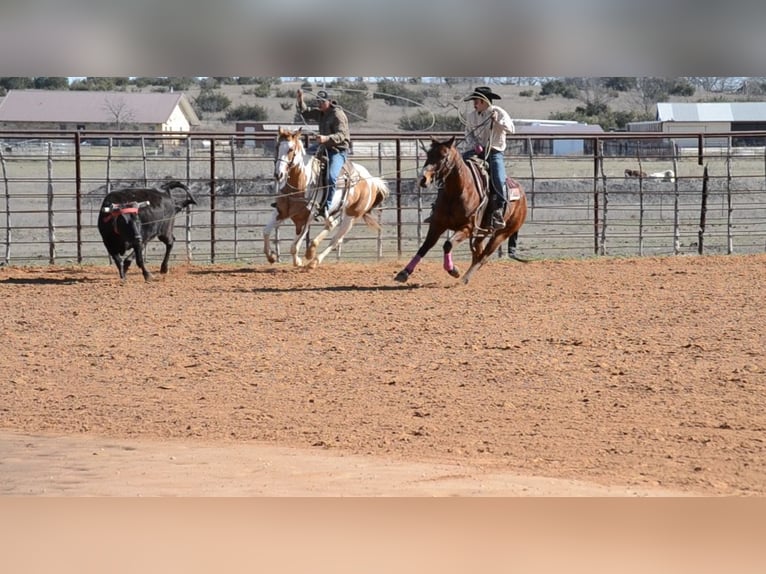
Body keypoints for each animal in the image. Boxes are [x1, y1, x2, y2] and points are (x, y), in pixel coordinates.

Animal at [268, 126, 392, 270]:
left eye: (291, 149)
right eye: (277, 147)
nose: (278, 174)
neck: (301, 183)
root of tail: (371, 180)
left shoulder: (306, 217)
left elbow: (294, 246)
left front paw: (298, 261)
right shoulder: (281, 212)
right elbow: (266, 232)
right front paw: (271, 256)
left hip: (352, 215)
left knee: (336, 239)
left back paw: (314, 259)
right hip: (335, 211)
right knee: (332, 224)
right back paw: (312, 250)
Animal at [396, 136, 528, 288]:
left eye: (444, 156)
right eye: (428, 154)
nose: (423, 179)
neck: (456, 192)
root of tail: (522, 195)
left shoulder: (467, 228)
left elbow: (448, 244)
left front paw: (453, 270)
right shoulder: (437, 224)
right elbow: (424, 247)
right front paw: (404, 272)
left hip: (502, 233)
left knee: (484, 256)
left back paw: (464, 278)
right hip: (482, 233)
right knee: (478, 253)